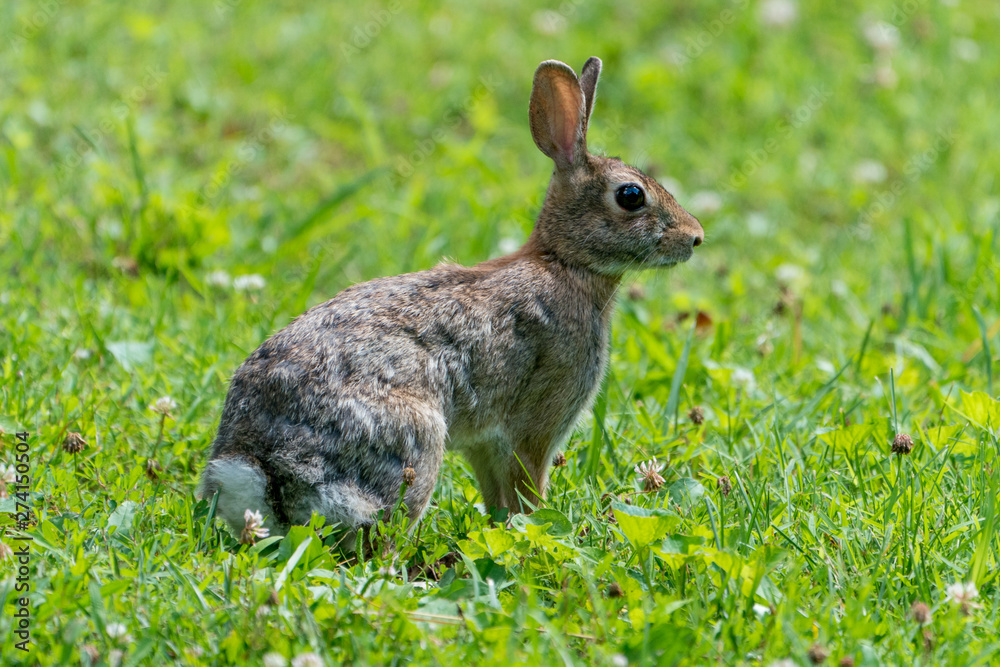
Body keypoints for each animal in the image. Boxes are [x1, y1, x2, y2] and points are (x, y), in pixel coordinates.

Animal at [199, 56, 704, 539]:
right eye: (631, 196)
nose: (695, 238)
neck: (564, 262)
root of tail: (263, 467)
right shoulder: (535, 427)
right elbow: (529, 490)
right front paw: (537, 525)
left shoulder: (486, 443)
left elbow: (499, 497)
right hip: (415, 445)